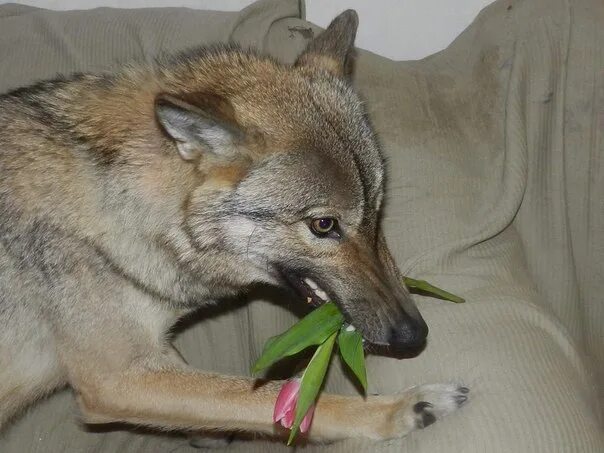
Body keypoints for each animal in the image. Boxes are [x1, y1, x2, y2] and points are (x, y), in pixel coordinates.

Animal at [0, 9, 468, 442]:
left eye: (377, 210)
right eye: (323, 225)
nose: (415, 334)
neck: (119, 200)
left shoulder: (154, 359)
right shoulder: (118, 381)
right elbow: (279, 398)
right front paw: (404, 409)